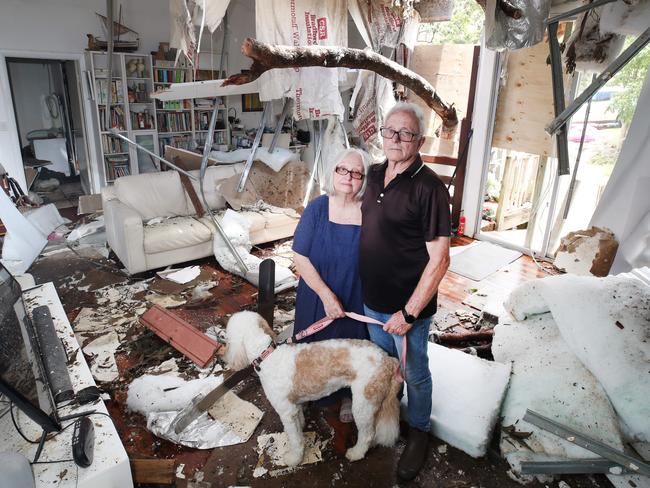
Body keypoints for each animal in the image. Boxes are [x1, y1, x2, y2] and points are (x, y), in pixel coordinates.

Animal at [225, 310, 402, 468]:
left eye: (226, 337)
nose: (223, 357)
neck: (266, 355)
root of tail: (388, 360)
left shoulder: (286, 412)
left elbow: (295, 439)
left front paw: (294, 458)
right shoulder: (294, 407)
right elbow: (299, 424)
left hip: (363, 404)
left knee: (367, 434)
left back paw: (356, 453)